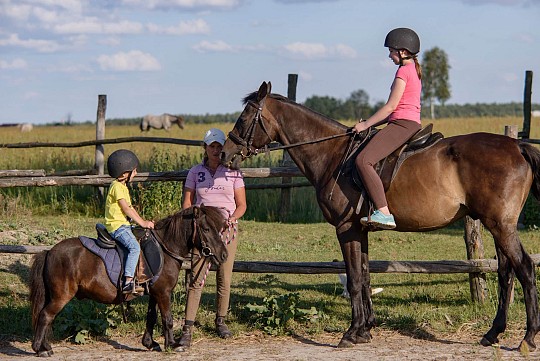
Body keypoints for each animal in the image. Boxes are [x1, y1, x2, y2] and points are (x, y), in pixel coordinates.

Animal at [29, 204, 228, 356]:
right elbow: (167, 319)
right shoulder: (163, 293)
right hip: (61, 296)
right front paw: (172, 344)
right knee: (46, 316)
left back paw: (45, 346)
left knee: (45, 317)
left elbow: (151, 317)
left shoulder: (154, 293)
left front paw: (150, 343)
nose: (224, 255)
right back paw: (40, 349)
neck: (164, 250)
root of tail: (49, 252)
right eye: (206, 229)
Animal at [219, 81, 540, 352]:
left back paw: (528, 338)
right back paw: (492, 333)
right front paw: (366, 329)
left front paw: (351, 333)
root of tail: (517, 146)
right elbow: (364, 274)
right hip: (497, 225)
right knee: (506, 272)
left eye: (244, 118)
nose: (225, 154)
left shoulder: (346, 228)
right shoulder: (359, 229)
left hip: (500, 226)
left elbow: (354, 279)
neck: (333, 154)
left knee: (524, 268)